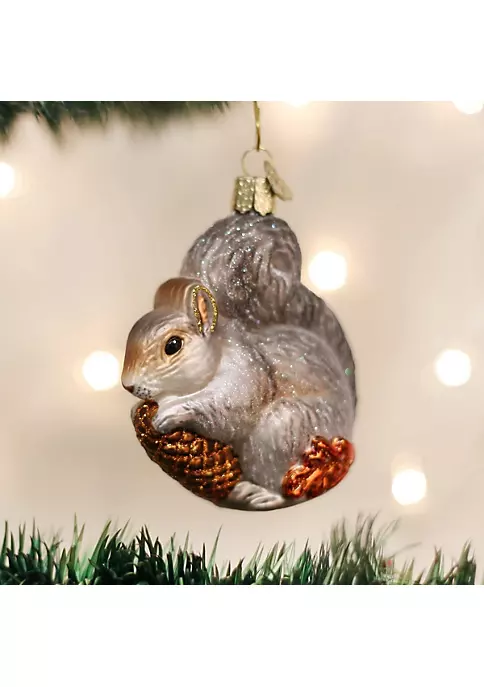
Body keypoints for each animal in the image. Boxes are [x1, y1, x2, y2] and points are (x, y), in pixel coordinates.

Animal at [122, 276, 355, 510]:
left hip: (284, 427)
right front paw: (137, 411)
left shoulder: (246, 374)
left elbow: (228, 409)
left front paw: (170, 411)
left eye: (173, 345)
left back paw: (263, 494)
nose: (127, 385)